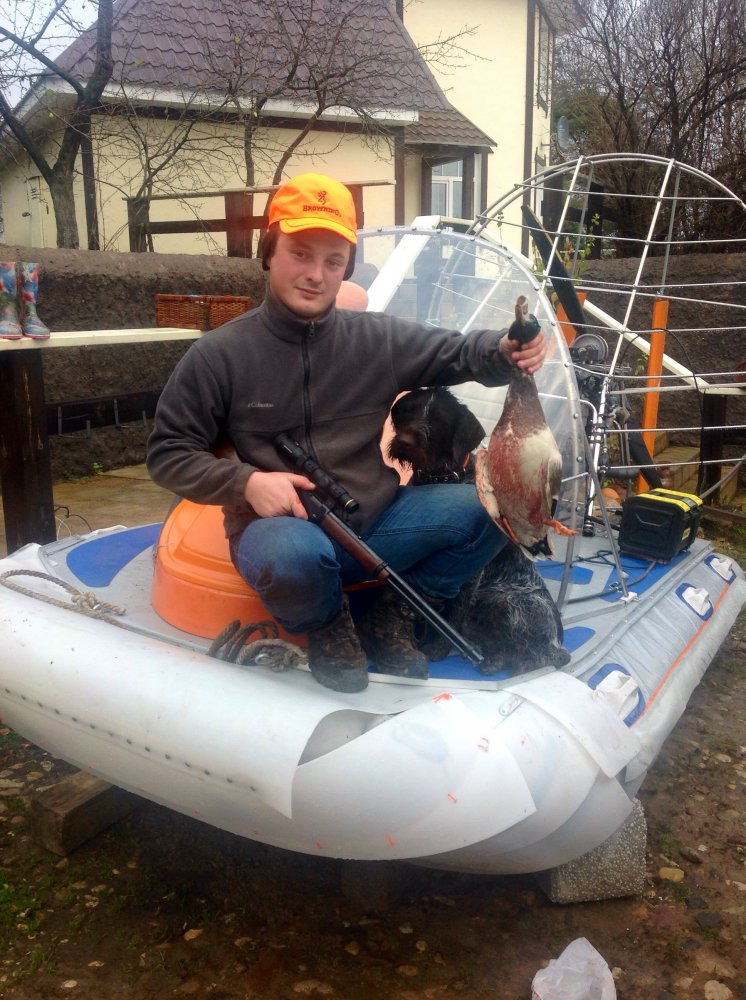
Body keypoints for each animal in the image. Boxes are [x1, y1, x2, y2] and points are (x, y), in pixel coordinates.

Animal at [388, 387, 570, 675]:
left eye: (440, 421)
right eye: (410, 411)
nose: (405, 441)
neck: (440, 478)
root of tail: (557, 637)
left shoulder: (468, 573)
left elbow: (452, 612)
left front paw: (437, 647)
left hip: (505, 602)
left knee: (545, 657)